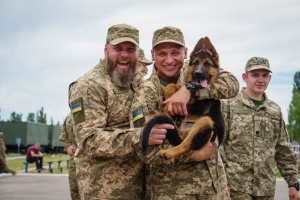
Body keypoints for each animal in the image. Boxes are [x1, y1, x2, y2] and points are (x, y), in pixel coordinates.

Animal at [142, 36, 224, 173]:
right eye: (195, 63)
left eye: (207, 64)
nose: (198, 73)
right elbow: (170, 86)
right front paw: (167, 107)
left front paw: (169, 107)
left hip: (205, 122)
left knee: (187, 147)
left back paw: (168, 152)